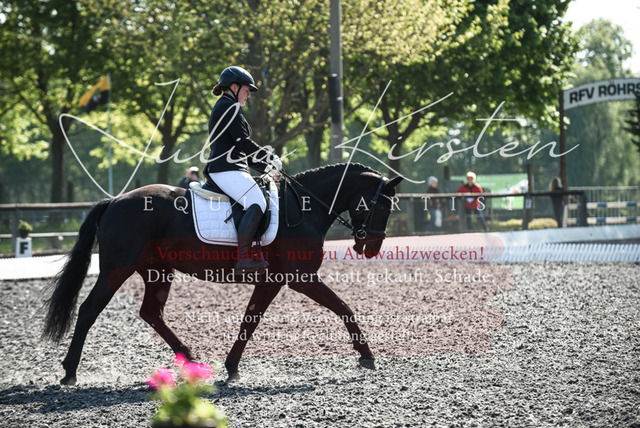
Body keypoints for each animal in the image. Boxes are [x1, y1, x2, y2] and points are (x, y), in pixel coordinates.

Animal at [42, 163, 402, 385]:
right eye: (383, 205)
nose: (370, 248)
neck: (304, 207)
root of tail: (115, 200)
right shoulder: (300, 278)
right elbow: (343, 307)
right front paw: (367, 356)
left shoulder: (272, 281)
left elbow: (250, 319)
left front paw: (231, 368)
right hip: (118, 269)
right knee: (89, 309)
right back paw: (70, 372)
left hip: (157, 270)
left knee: (151, 312)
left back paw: (191, 361)